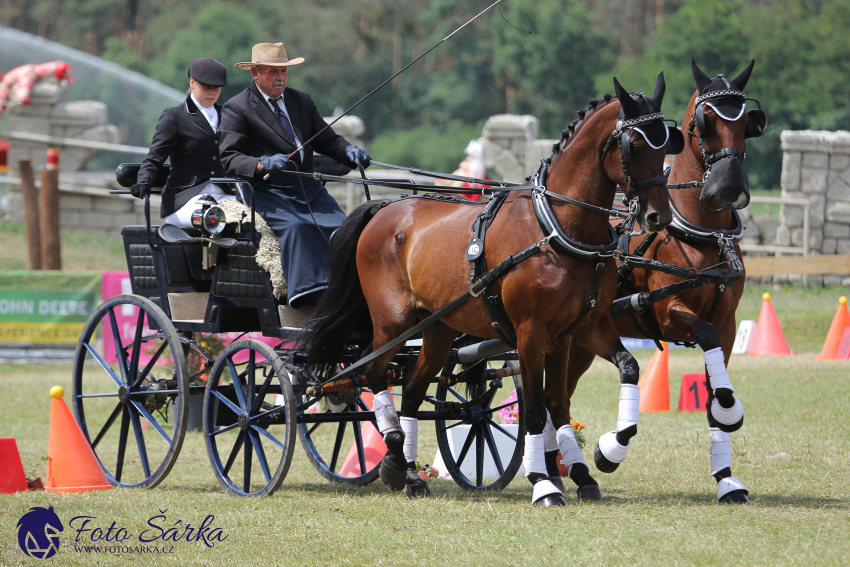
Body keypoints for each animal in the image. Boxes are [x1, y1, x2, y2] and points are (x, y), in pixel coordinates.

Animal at [298, 74, 684, 506]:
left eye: (667, 143)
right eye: (634, 145)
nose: (658, 216)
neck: (554, 228)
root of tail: (384, 208)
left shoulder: (579, 329)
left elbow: (587, 389)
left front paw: (602, 457)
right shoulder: (531, 333)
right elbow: (534, 410)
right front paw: (545, 483)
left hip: (437, 328)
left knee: (412, 389)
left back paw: (411, 474)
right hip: (393, 323)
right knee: (374, 373)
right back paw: (395, 457)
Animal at [560, 57, 764, 504]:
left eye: (748, 123)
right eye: (704, 121)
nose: (728, 188)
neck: (700, 234)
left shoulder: (727, 323)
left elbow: (714, 390)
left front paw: (726, 477)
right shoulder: (669, 312)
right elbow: (703, 338)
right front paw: (611, 448)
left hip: (580, 342)